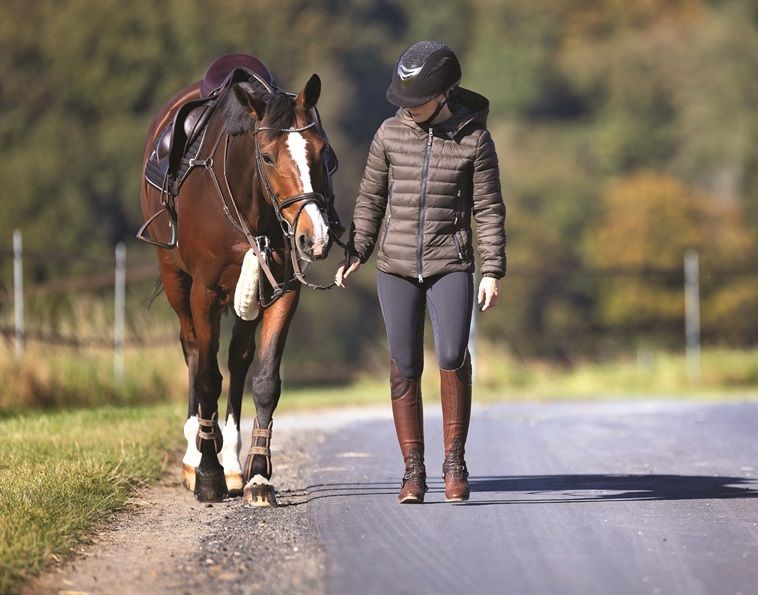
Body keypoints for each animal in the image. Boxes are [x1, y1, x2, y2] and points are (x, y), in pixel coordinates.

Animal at [139, 59, 338, 505]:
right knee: (193, 351)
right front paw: (207, 475)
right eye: (266, 157)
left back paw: (230, 459)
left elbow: (264, 381)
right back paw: (196, 456)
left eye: (322, 152)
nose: (314, 236)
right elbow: (207, 377)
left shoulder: (284, 292)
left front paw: (258, 475)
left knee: (238, 359)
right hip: (176, 279)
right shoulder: (204, 293)